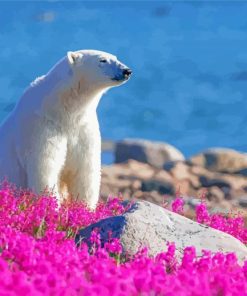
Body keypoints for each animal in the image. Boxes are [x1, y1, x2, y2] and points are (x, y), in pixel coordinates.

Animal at [0, 49, 131, 208]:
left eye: (115, 57)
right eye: (102, 60)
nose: (126, 71)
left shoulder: (83, 128)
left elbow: (85, 170)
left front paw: (86, 208)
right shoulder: (41, 127)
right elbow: (45, 168)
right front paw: (51, 207)